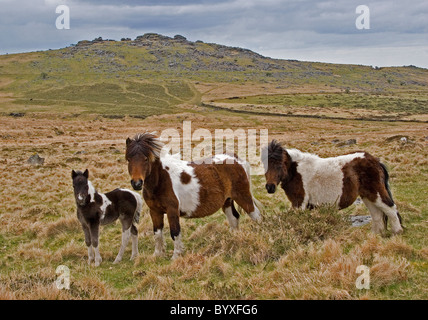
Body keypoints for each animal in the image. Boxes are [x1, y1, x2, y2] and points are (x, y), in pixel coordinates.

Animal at [125, 132, 262, 260]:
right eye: (128, 159)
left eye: (146, 159)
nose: (137, 183)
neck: (161, 179)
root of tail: (236, 158)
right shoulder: (154, 211)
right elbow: (157, 233)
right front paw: (157, 255)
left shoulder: (172, 210)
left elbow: (175, 232)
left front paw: (176, 256)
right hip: (227, 201)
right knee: (234, 218)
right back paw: (233, 240)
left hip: (243, 197)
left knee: (256, 216)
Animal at [262, 141, 402, 236]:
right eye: (264, 165)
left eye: (279, 165)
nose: (270, 187)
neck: (295, 171)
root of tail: (375, 160)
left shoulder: (299, 203)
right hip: (368, 196)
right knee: (377, 214)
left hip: (376, 193)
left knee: (390, 208)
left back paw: (397, 232)